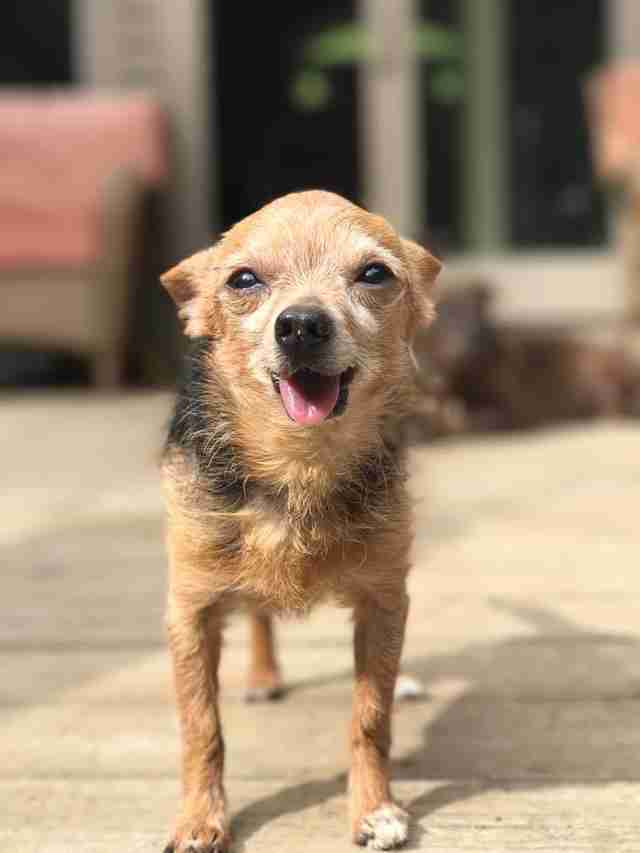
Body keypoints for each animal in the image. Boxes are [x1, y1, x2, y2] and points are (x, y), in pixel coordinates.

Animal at [158, 190, 442, 848]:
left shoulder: (384, 600)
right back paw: (264, 676)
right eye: (243, 279)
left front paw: (374, 809)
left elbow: (371, 717)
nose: (302, 324)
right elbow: (201, 729)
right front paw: (200, 818)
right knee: (259, 614)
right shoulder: (190, 609)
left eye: (374, 274)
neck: (300, 464)